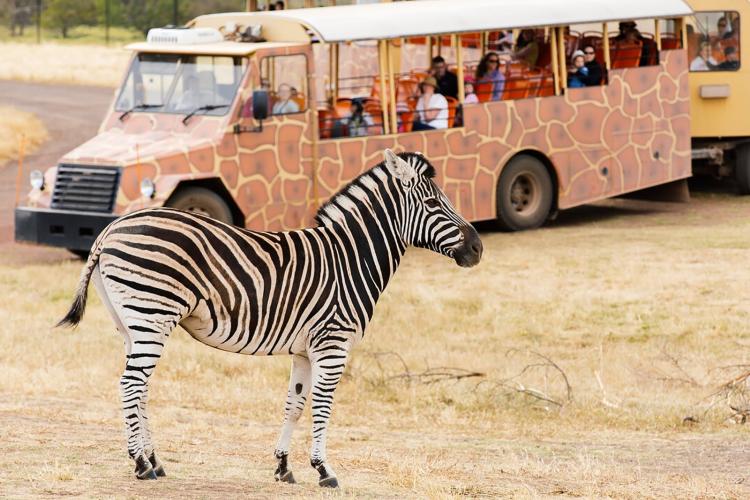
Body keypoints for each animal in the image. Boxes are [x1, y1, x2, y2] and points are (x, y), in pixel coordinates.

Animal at [57, 148, 482, 488]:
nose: (478, 248)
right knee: (130, 385)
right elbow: (323, 405)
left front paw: (283, 467)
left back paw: (155, 461)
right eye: (433, 203)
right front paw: (324, 470)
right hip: (152, 314)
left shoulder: (305, 350)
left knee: (139, 387)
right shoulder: (333, 343)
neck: (351, 257)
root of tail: (111, 228)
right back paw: (141, 464)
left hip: (132, 323)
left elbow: (294, 404)